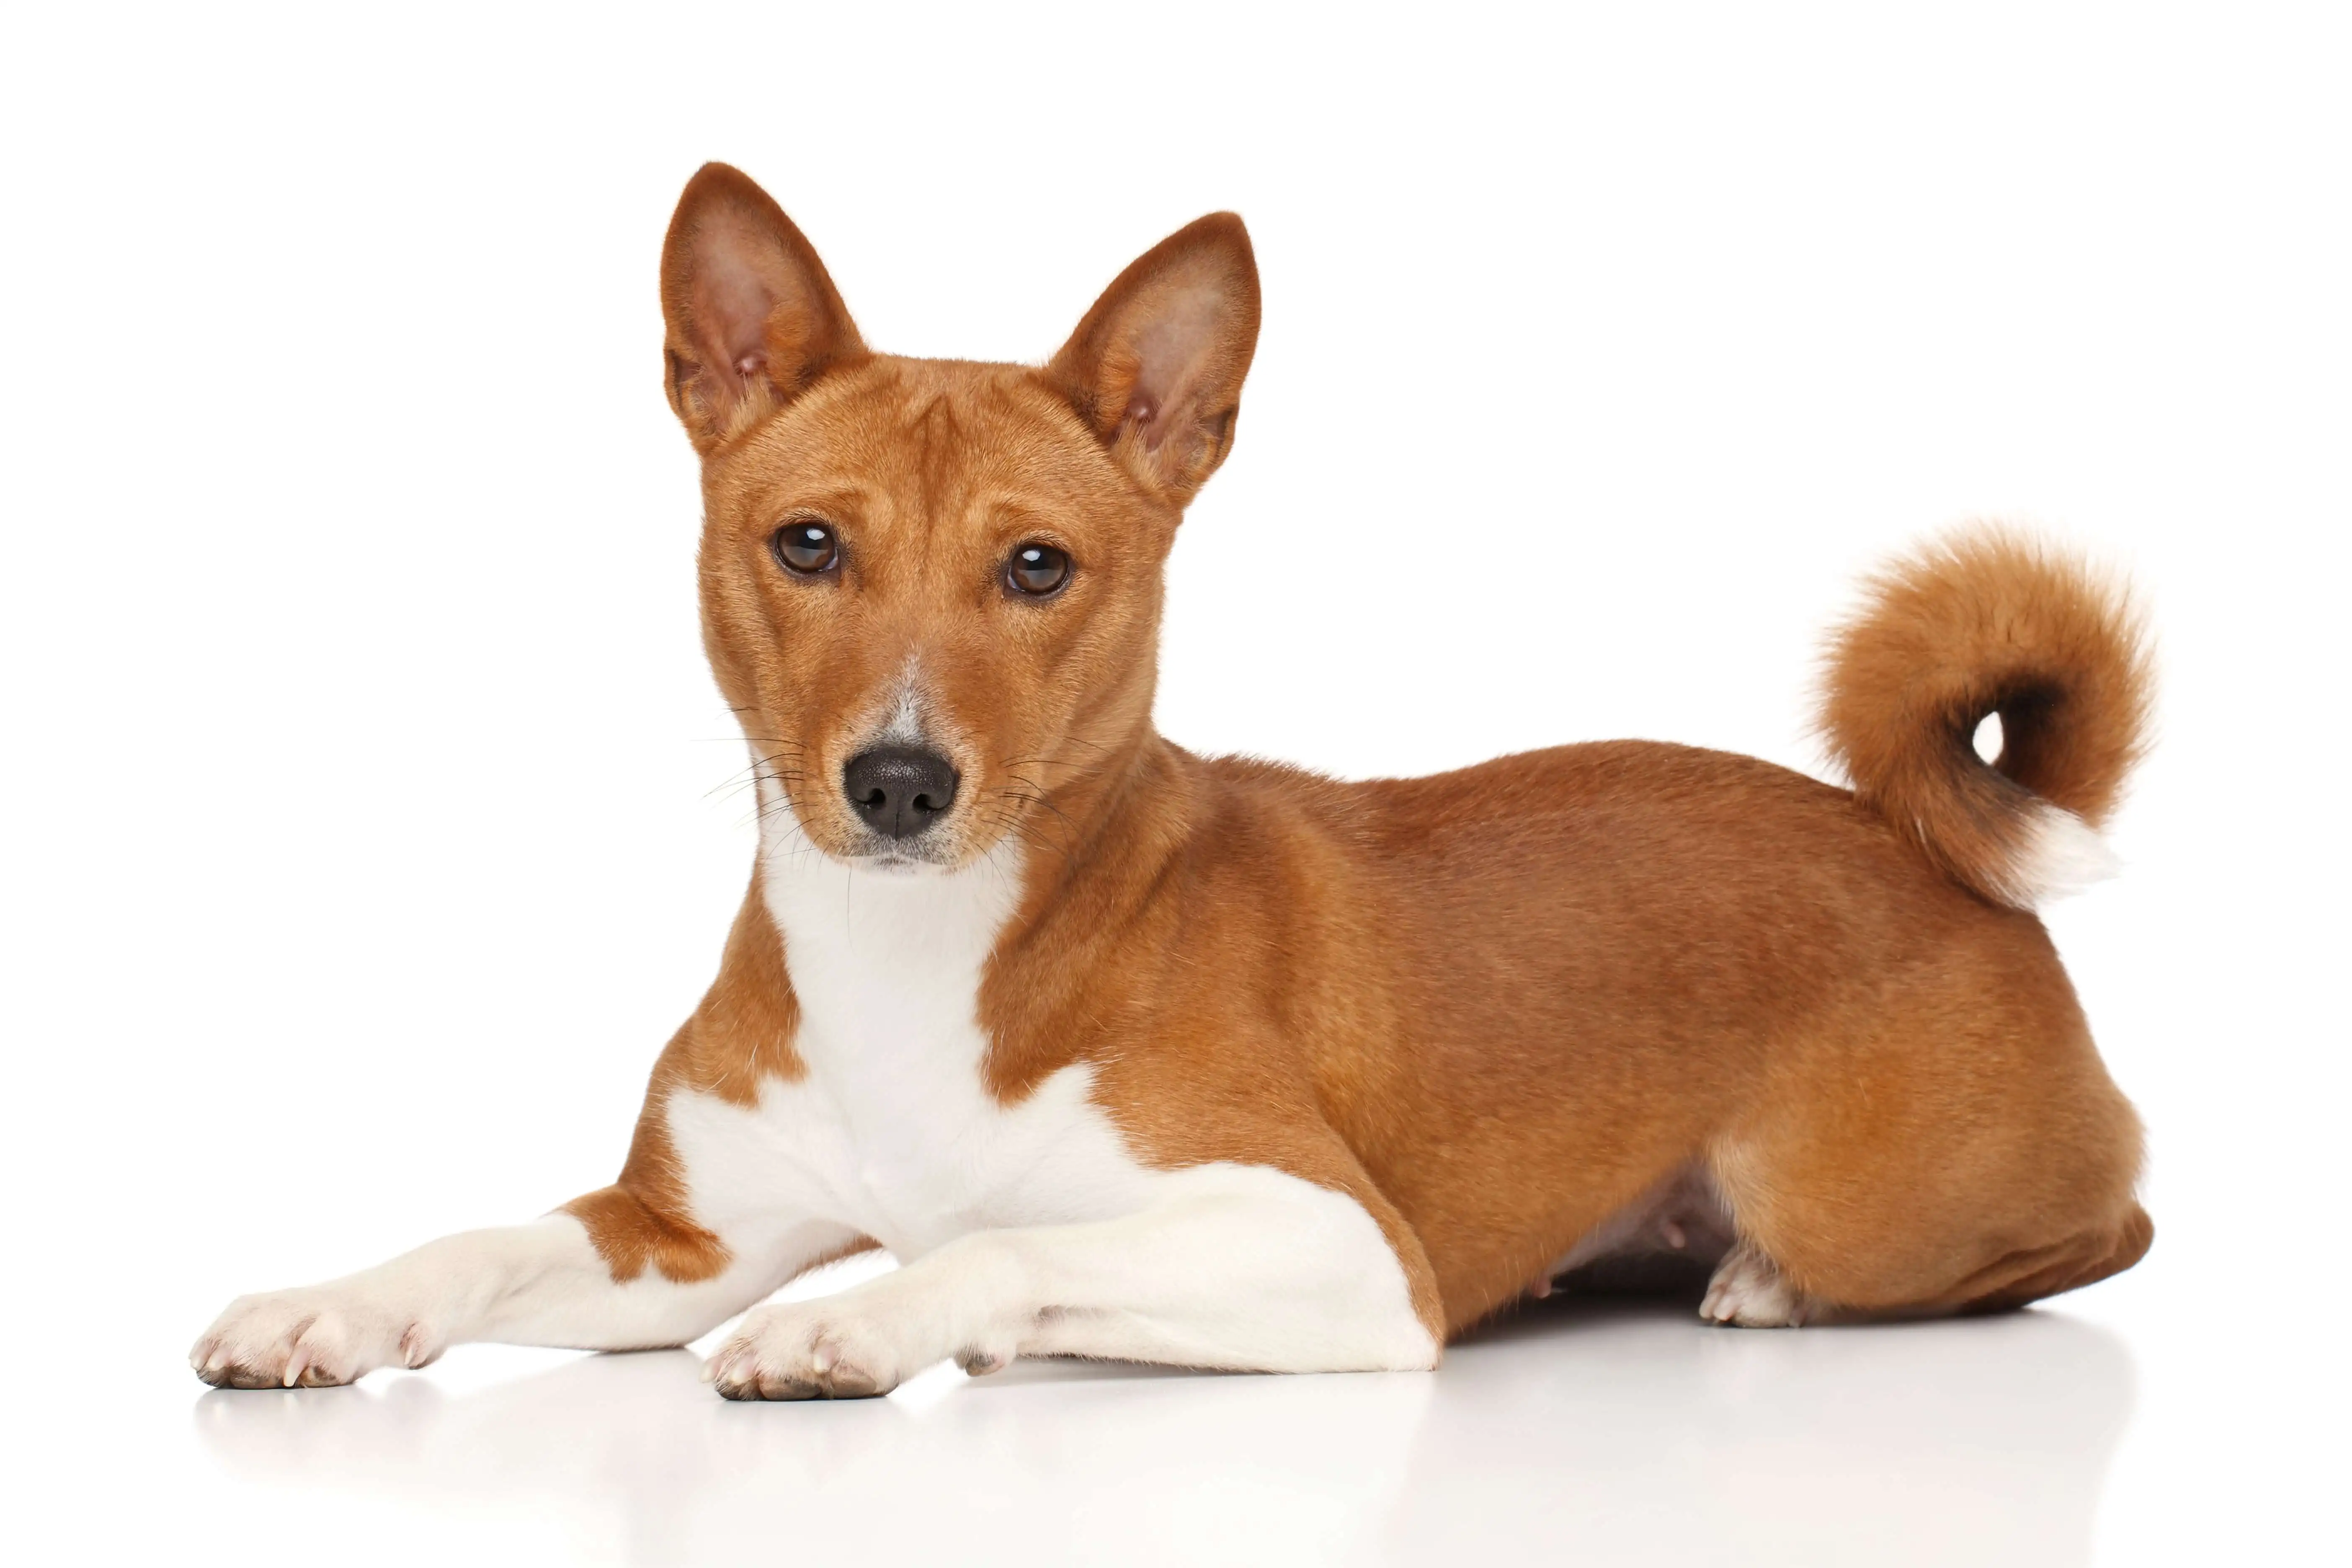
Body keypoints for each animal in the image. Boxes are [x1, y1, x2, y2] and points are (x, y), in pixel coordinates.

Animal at [197, 162, 2154, 1401]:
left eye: (1037, 569)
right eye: (809, 544)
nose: (898, 780)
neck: (914, 962)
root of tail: (1925, 850)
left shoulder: (1340, 1244)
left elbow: (991, 1247)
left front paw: (867, 1327)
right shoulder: (681, 1234)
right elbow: (460, 1242)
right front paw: (321, 1307)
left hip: (1875, 1197)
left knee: (2101, 1229)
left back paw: (1771, 1279)